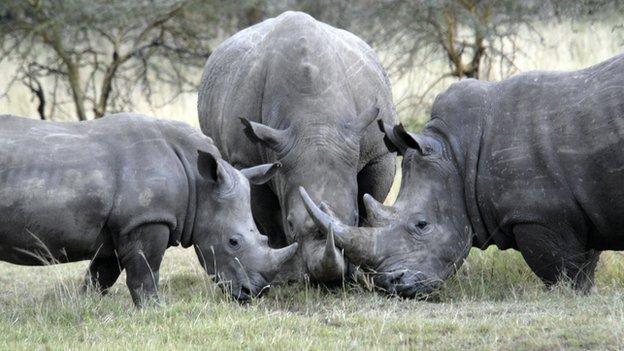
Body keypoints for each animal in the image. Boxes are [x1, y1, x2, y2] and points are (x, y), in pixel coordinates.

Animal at [0, 114, 300, 306]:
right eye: (233, 242)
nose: (255, 293)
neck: (199, 183)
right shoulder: (147, 219)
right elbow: (145, 272)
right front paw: (154, 309)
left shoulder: (121, 226)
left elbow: (101, 275)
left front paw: (83, 306)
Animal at [197, 11, 398, 284]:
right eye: (291, 223)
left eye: (354, 217)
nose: (328, 280)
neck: (314, 122)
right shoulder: (248, 160)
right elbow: (269, 217)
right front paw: (285, 277)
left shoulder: (376, 152)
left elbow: (371, 201)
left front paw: (361, 273)